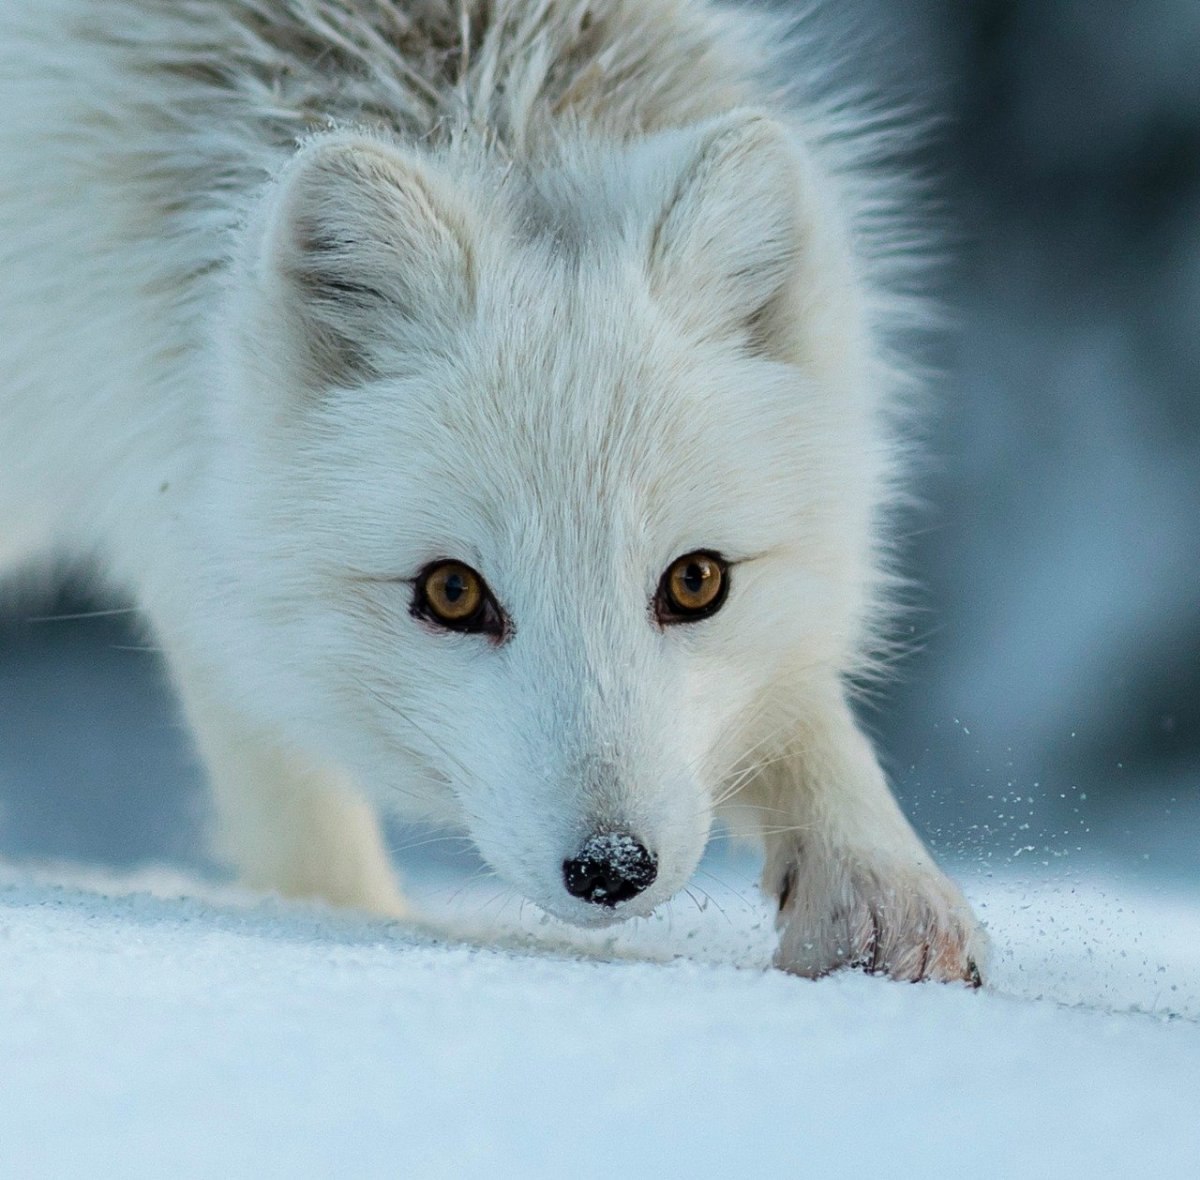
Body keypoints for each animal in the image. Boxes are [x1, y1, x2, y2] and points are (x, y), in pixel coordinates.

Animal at [0, 0, 984, 989]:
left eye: (697, 581)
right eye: (451, 592)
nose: (611, 868)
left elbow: (802, 709)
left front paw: (877, 891)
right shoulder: (167, 488)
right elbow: (289, 795)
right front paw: (343, 927)